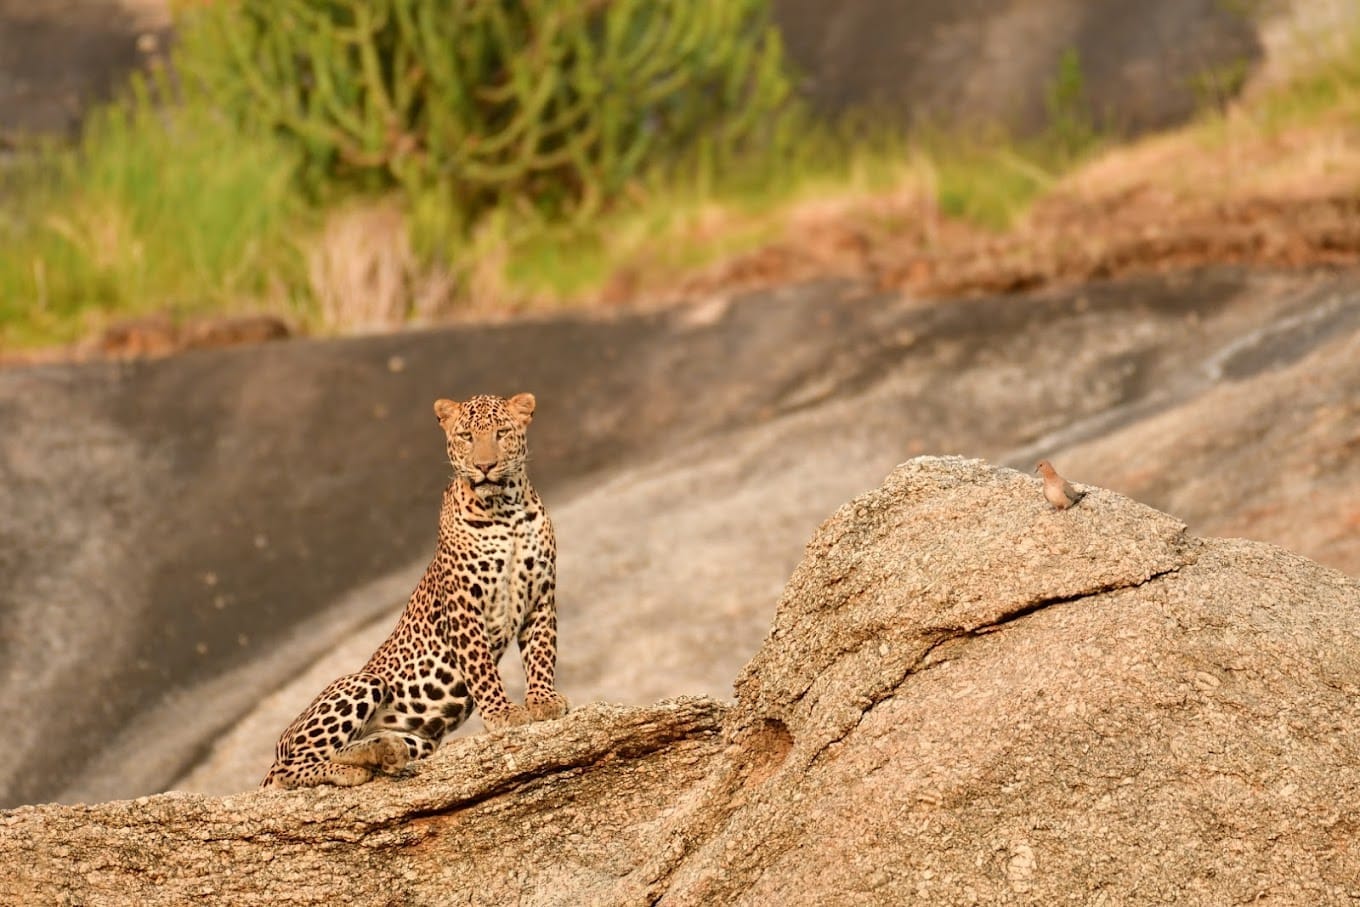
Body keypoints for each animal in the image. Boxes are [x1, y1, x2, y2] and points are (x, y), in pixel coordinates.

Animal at [261, 392, 569, 789]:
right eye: (466, 436)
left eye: (502, 433)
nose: (485, 466)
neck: (506, 511)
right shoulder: (464, 605)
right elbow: (482, 667)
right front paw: (503, 713)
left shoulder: (540, 596)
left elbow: (542, 652)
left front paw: (543, 700)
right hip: (362, 683)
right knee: (293, 766)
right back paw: (349, 770)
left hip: (419, 739)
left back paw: (383, 753)